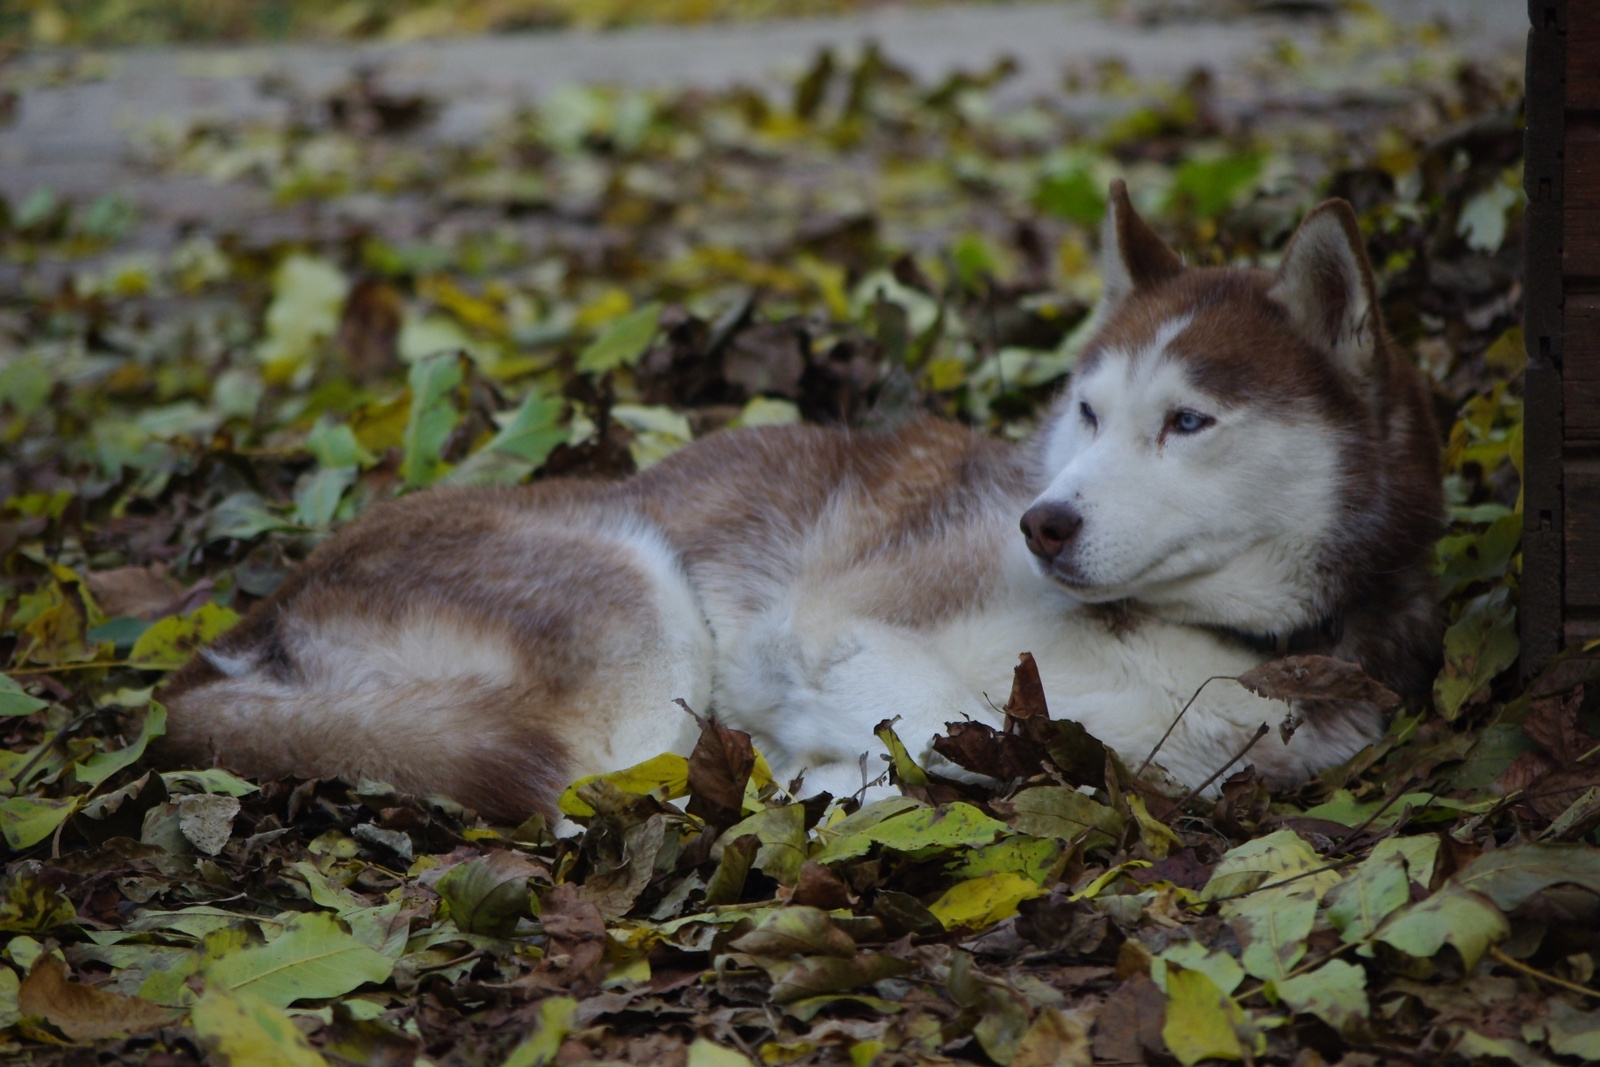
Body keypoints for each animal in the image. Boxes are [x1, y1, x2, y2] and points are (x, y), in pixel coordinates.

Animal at [159, 185, 1440, 819]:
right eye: (1087, 409)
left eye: (1187, 421)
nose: (1043, 521)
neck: (1199, 639)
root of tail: (238, 634)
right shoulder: (833, 616)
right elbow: (940, 726)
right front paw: (830, 764)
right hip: (635, 590)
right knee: (594, 789)